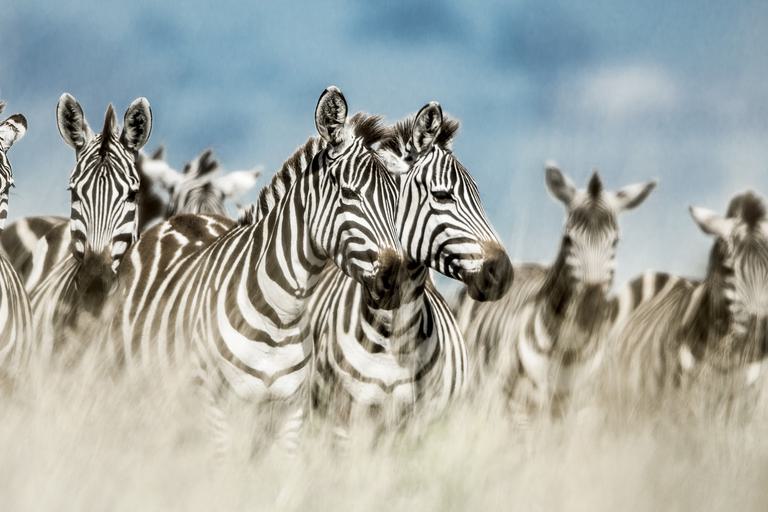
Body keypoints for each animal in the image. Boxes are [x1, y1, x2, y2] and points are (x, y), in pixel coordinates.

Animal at [107, 86, 403, 454]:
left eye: (395, 199)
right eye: (349, 194)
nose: (395, 277)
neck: (280, 316)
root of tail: (184, 218)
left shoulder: (290, 413)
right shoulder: (215, 407)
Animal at [308, 101, 512, 436]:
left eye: (478, 196)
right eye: (442, 195)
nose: (503, 272)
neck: (396, 333)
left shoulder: (421, 425)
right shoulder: (343, 422)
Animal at [455, 164, 656, 414]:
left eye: (615, 242)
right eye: (568, 239)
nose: (589, 307)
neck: (569, 349)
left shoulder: (583, 407)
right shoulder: (520, 406)